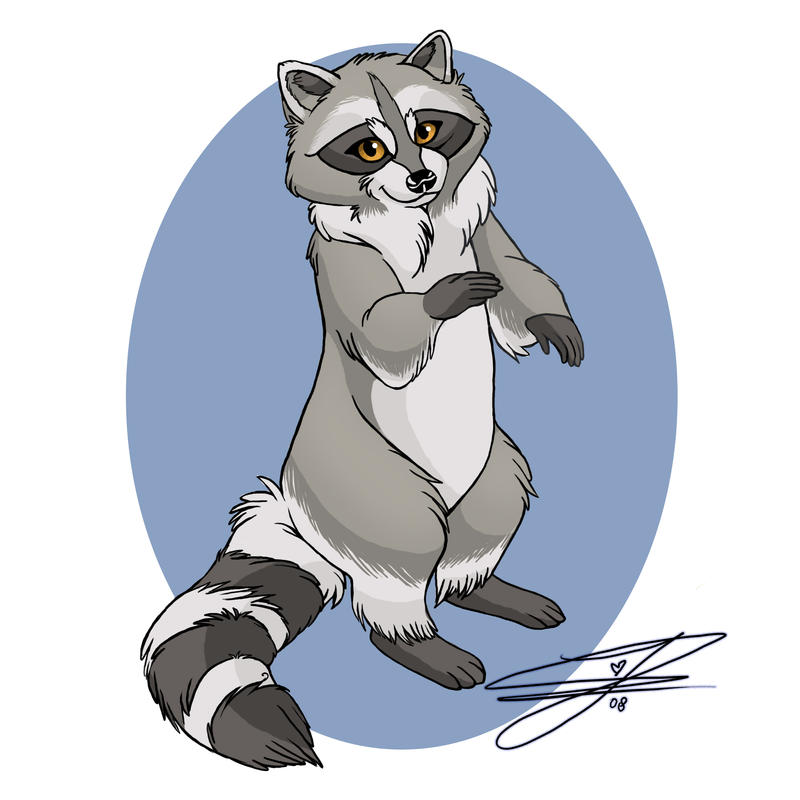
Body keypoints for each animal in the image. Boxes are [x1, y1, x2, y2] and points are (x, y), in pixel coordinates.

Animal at [140, 31, 584, 771]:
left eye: (426, 130)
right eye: (368, 147)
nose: (422, 179)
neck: (419, 216)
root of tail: (301, 515)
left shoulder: (484, 230)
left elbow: (519, 274)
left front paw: (551, 321)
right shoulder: (342, 261)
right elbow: (383, 328)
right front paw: (438, 299)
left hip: (487, 463)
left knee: (491, 507)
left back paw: (480, 585)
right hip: (365, 481)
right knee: (406, 545)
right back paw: (413, 638)